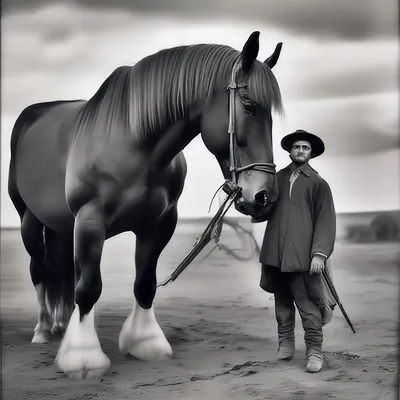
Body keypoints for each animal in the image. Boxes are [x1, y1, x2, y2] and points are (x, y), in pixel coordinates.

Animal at [7, 30, 282, 378]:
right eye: (249, 105)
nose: (264, 197)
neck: (135, 143)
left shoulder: (158, 225)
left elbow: (144, 284)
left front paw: (145, 342)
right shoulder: (90, 221)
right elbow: (89, 287)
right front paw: (82, 356)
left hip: (62, 227)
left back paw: (61, 326)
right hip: (29, 221)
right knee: (40, 270)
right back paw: (43, 330)